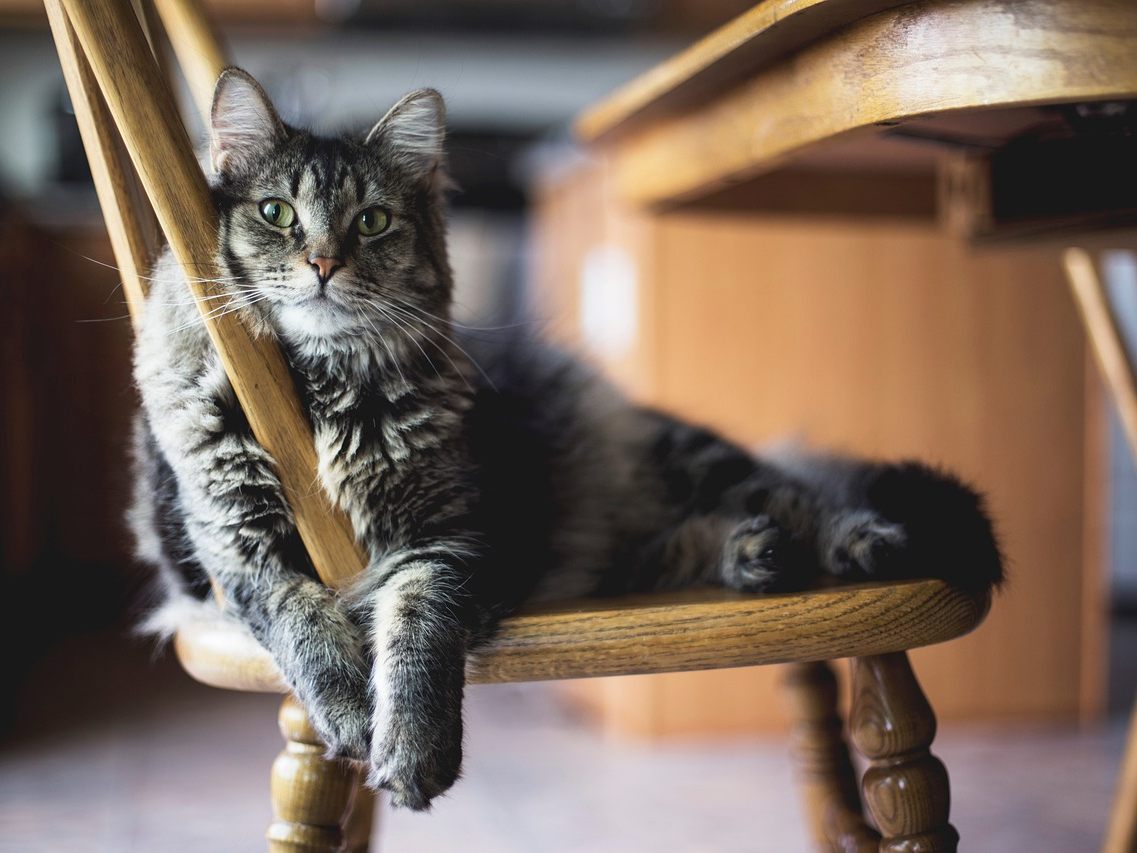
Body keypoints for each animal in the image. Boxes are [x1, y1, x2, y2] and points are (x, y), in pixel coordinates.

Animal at [133, 66, 1005, 809]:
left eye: (372, 221)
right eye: (276, 212)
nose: (321, 263)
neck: (318, 390)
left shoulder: (446, 541)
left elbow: (414, 639)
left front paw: (411, 748)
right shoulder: (236, 548)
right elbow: (302, 624)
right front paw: (350, 713)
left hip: (695, 464)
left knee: (801, 495)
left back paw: (856, 542)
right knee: (687, 539)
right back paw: (751, 555)